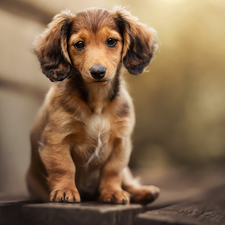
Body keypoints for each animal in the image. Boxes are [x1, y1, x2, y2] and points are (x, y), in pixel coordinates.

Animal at [26, 6, 160, 204]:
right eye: (79, 44)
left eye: (111, 41)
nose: (98, 72)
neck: (97, 100)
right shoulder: (56, 139)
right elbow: (64, 166)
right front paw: (65, 190)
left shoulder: (121, 143)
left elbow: (112, 171)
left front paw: (112, 192)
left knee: (127, 181)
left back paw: (143, 192)